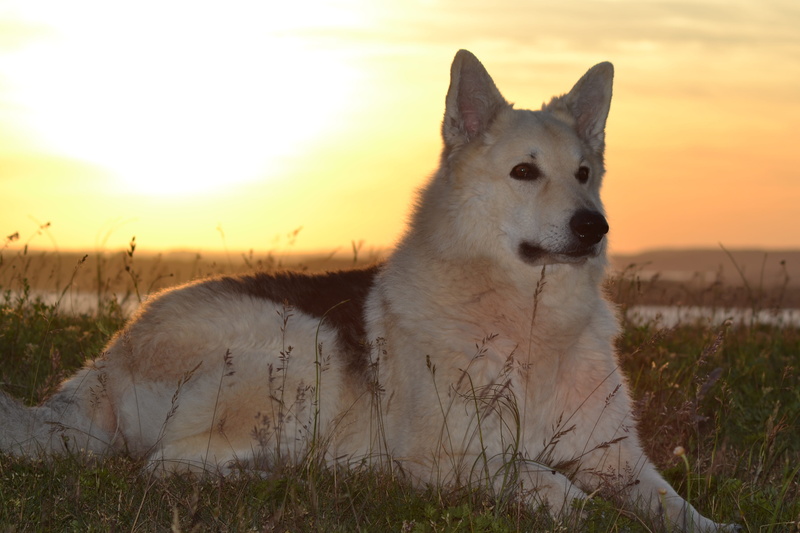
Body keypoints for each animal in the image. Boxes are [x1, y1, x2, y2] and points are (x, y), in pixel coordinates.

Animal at [1, 50, 735, 531]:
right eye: (525, 172)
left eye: (584, 173)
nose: (594, 225)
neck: (531, 324)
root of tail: (100, 365)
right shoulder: (450, 455)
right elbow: (548, 481)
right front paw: (581, 509)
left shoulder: (622, 460)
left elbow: (678, 506)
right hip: (301, 347)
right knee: (165, 465)